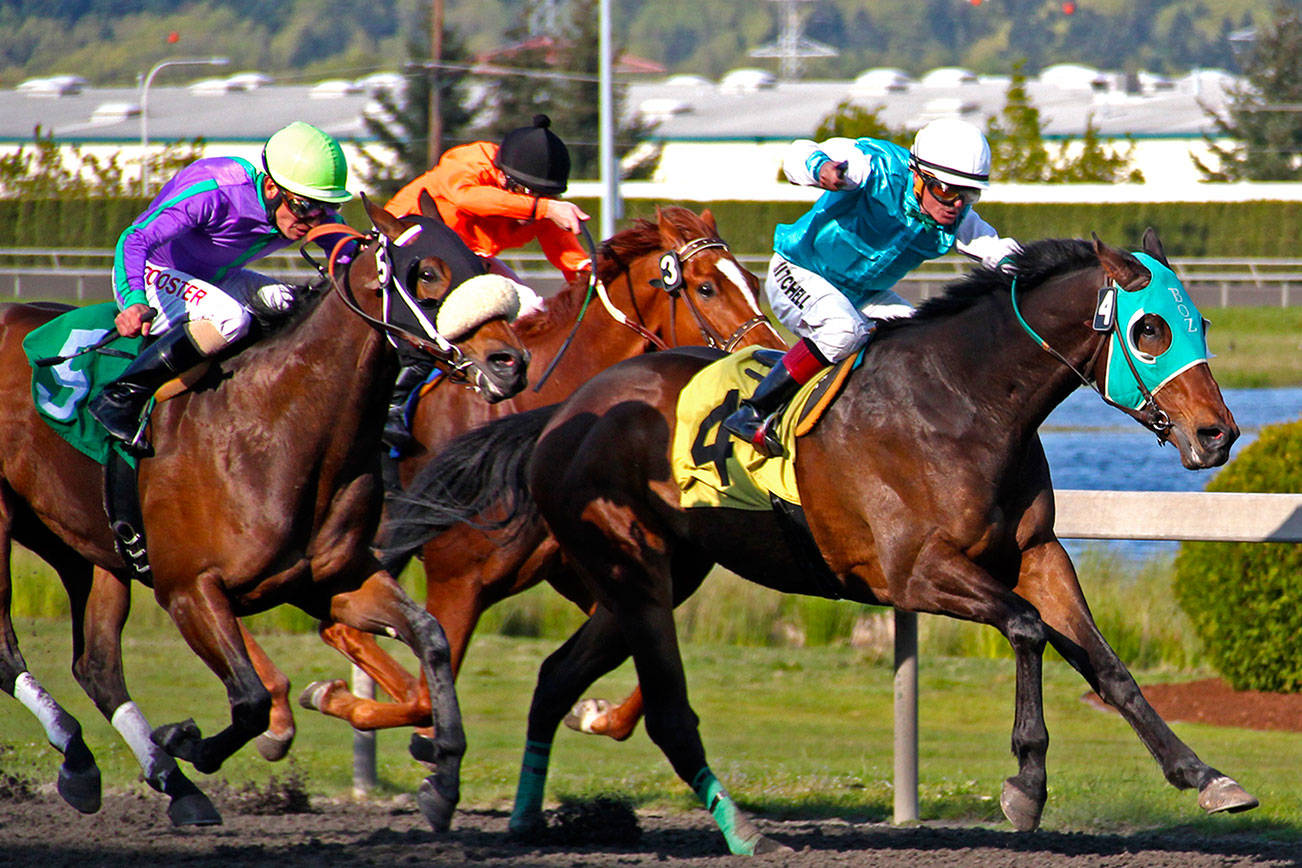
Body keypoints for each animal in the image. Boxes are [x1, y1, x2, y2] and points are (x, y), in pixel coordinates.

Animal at [0, 193, 531, 832]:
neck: (275, 424)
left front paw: (443, 775)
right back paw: (94, 755)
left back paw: (150, 781)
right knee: (7, 650)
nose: (510, 363)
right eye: (426, 272)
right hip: (6, 523)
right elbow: (251, 699)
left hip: (83, 546)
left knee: (98, 666)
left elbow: (431, 637)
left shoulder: (330, 579)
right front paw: (190, 740)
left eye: (480, 263)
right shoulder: (189, 588)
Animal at [260, 204, 781, 749]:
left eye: (752, 281)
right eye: (707, 287)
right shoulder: (457, 579)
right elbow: (425, 696)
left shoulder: (583, 572)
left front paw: (593, 713)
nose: (768, 358)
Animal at [403, 230, 1249, 853]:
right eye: (1149, 328)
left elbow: (1108, 667)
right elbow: (1027, 628)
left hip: (653, 577)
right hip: (631, 569)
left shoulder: (1038, 555)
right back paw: (737, 832)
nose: (1219, 434)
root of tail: (566, 409)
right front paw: (1026, 785)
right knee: (664, 711)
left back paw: (524, 818)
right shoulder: (913, 573)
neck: (966, 400)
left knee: (554, 678)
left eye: (1203, 324)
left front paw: (1204, 774)